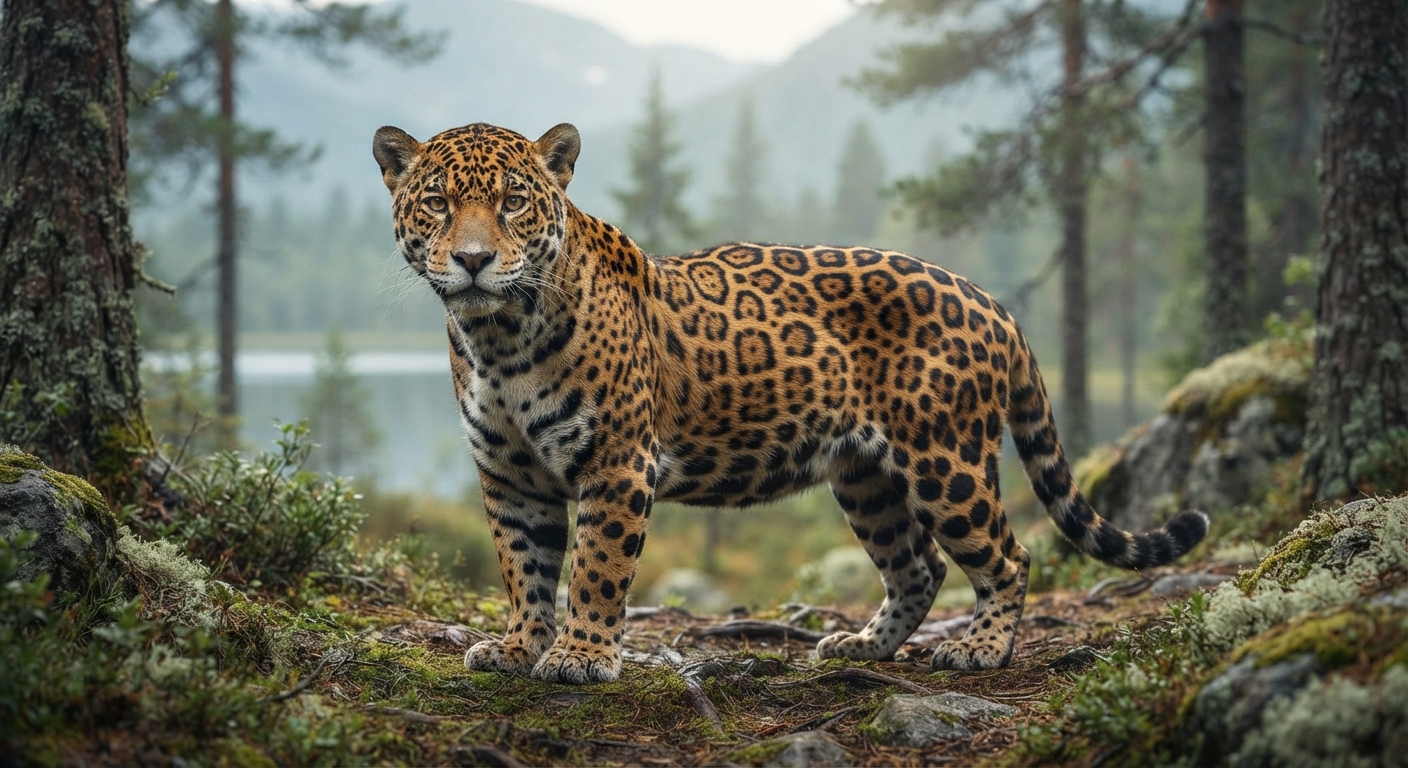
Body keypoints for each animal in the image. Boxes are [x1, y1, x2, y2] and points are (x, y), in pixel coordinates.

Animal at [371, 121, 1209, 685]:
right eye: (437, 203)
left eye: (513, 203)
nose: (472, 261)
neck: (497, 338)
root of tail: (991, 301)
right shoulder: (510, 475)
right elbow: (523, 567)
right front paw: (518, 646)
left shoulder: (616, 465)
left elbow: (597, 569)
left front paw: (581, 655)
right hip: (866, 477)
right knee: (917, 567)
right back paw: (861, 647)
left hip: (947, 461)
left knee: (1008, 555)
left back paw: (979, 648)